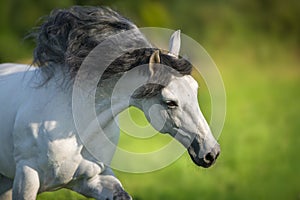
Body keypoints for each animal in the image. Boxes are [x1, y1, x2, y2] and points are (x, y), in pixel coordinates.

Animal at [0, 6, 220, 200]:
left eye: (195, 89)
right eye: (171, 102)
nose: (211, 152)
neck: (75, 126)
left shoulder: (92, 179)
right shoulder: (26, 176)